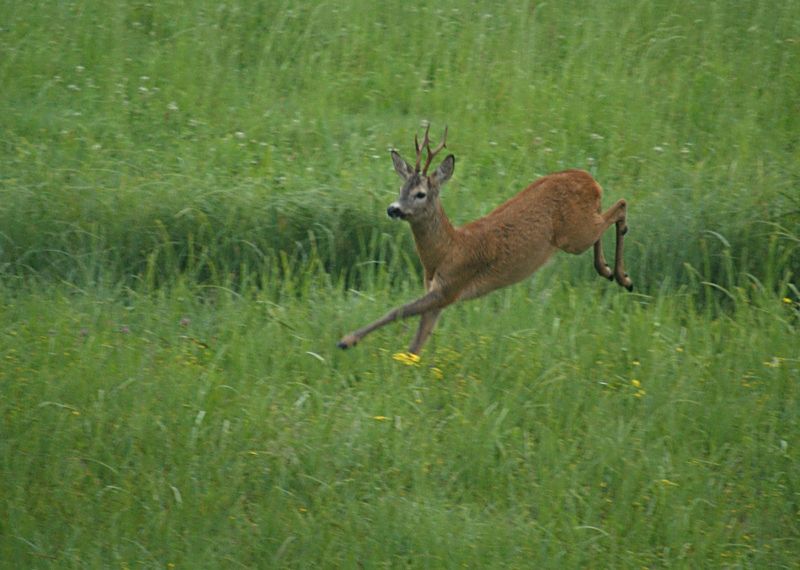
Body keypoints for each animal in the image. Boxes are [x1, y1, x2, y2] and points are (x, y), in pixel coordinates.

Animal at [336, 126, 632, 352]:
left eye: (420, 193)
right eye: (401, 188)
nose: (393, 209)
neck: (446, 250)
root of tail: (590, 179)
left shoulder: (451, 285)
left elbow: (398, 310)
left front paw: (347, 340)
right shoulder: (437, 294)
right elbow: (416, 343)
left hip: (574, 237)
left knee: (620, 205)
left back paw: (623, 276)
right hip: (580, 228)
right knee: (607, 214)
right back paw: (607, 270)